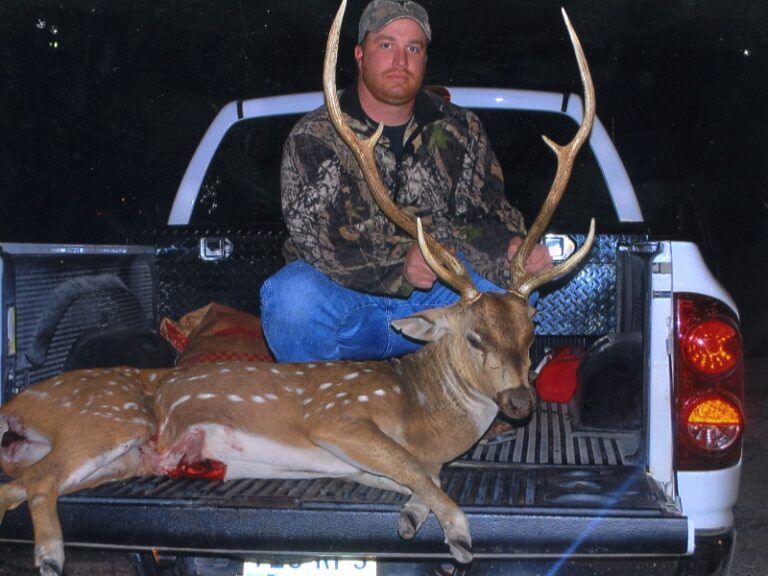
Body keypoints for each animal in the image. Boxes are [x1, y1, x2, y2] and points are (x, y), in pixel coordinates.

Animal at [0, 0, 596, 572]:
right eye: (474, 336)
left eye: (531, 333)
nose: (519, 400)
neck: (422, 412)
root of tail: (21, 401)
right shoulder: (338, 417)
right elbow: (415, 468)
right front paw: (457, 531)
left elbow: (419, 474)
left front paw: (411, 514)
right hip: (103, 419)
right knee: (40, 481)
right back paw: (50, 556)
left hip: (117, 455)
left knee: (19, 485)